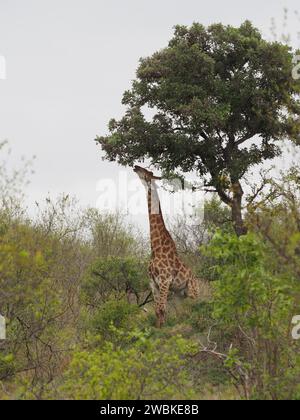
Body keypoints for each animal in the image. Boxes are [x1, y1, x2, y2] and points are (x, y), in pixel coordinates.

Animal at [133, 165, 199, 328]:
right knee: (183, 311)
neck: (156, 247)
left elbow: (162, 308)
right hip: (180, 294)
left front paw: (161, 329)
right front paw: (158, 328)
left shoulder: (164, 280)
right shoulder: (153, 283)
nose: (136, 166)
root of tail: (195, 278)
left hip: (192, 291)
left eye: (147, 172)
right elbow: (158, 310)